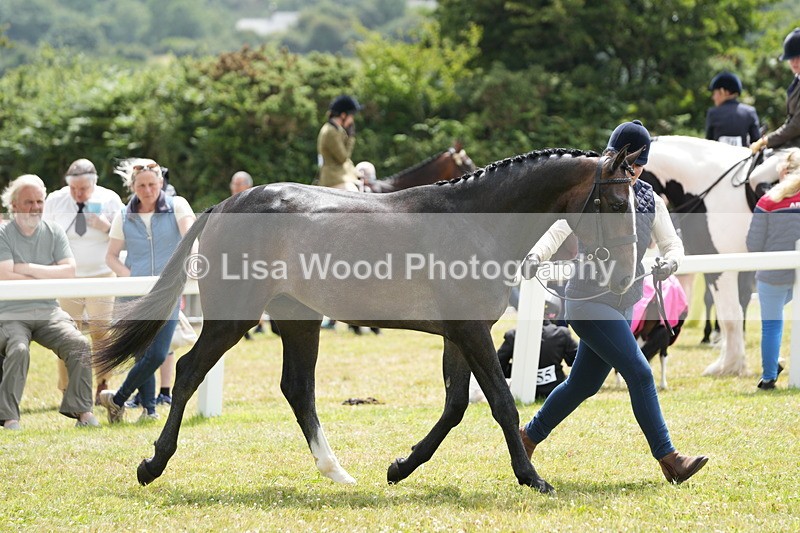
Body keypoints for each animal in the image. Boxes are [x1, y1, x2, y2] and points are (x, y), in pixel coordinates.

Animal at [93, 147, 641, 494]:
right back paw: (152, 465)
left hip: (300, 319)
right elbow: (502, 404)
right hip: (235, 318)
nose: (623, 276)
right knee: (188, 373)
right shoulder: (470, 333)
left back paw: (336, 472)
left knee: (298, 388)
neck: (475, 222)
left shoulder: (461, 334)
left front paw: (400, 467)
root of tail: (224, 205)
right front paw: (533, 478)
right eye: (616, 202)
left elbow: (456, 405)